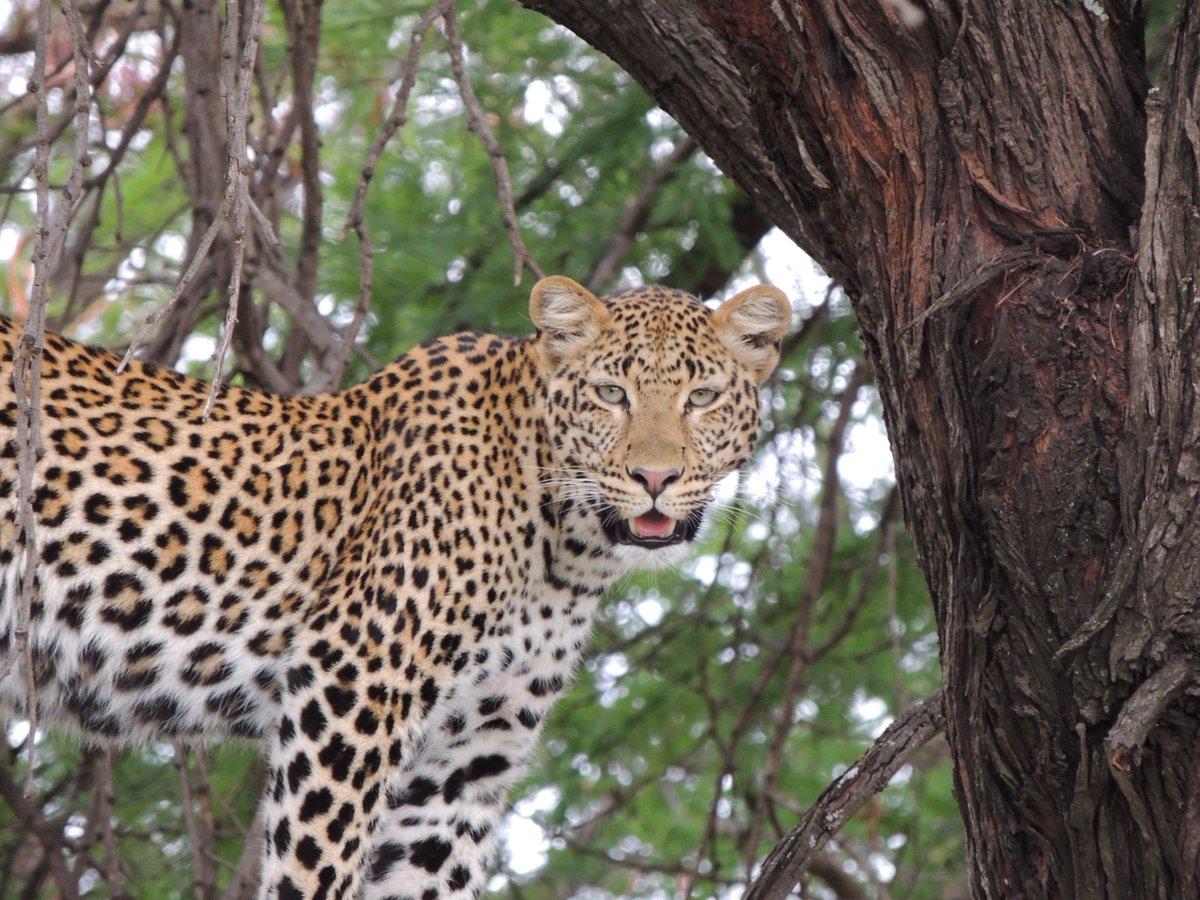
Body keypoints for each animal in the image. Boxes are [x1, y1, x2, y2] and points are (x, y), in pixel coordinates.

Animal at [0, 275, 790, 899]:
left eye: (703, 397)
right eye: (609, 393)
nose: (655, 478)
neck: (570, 554)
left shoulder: (463, 764)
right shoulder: (350, 686)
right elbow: (313, 866)